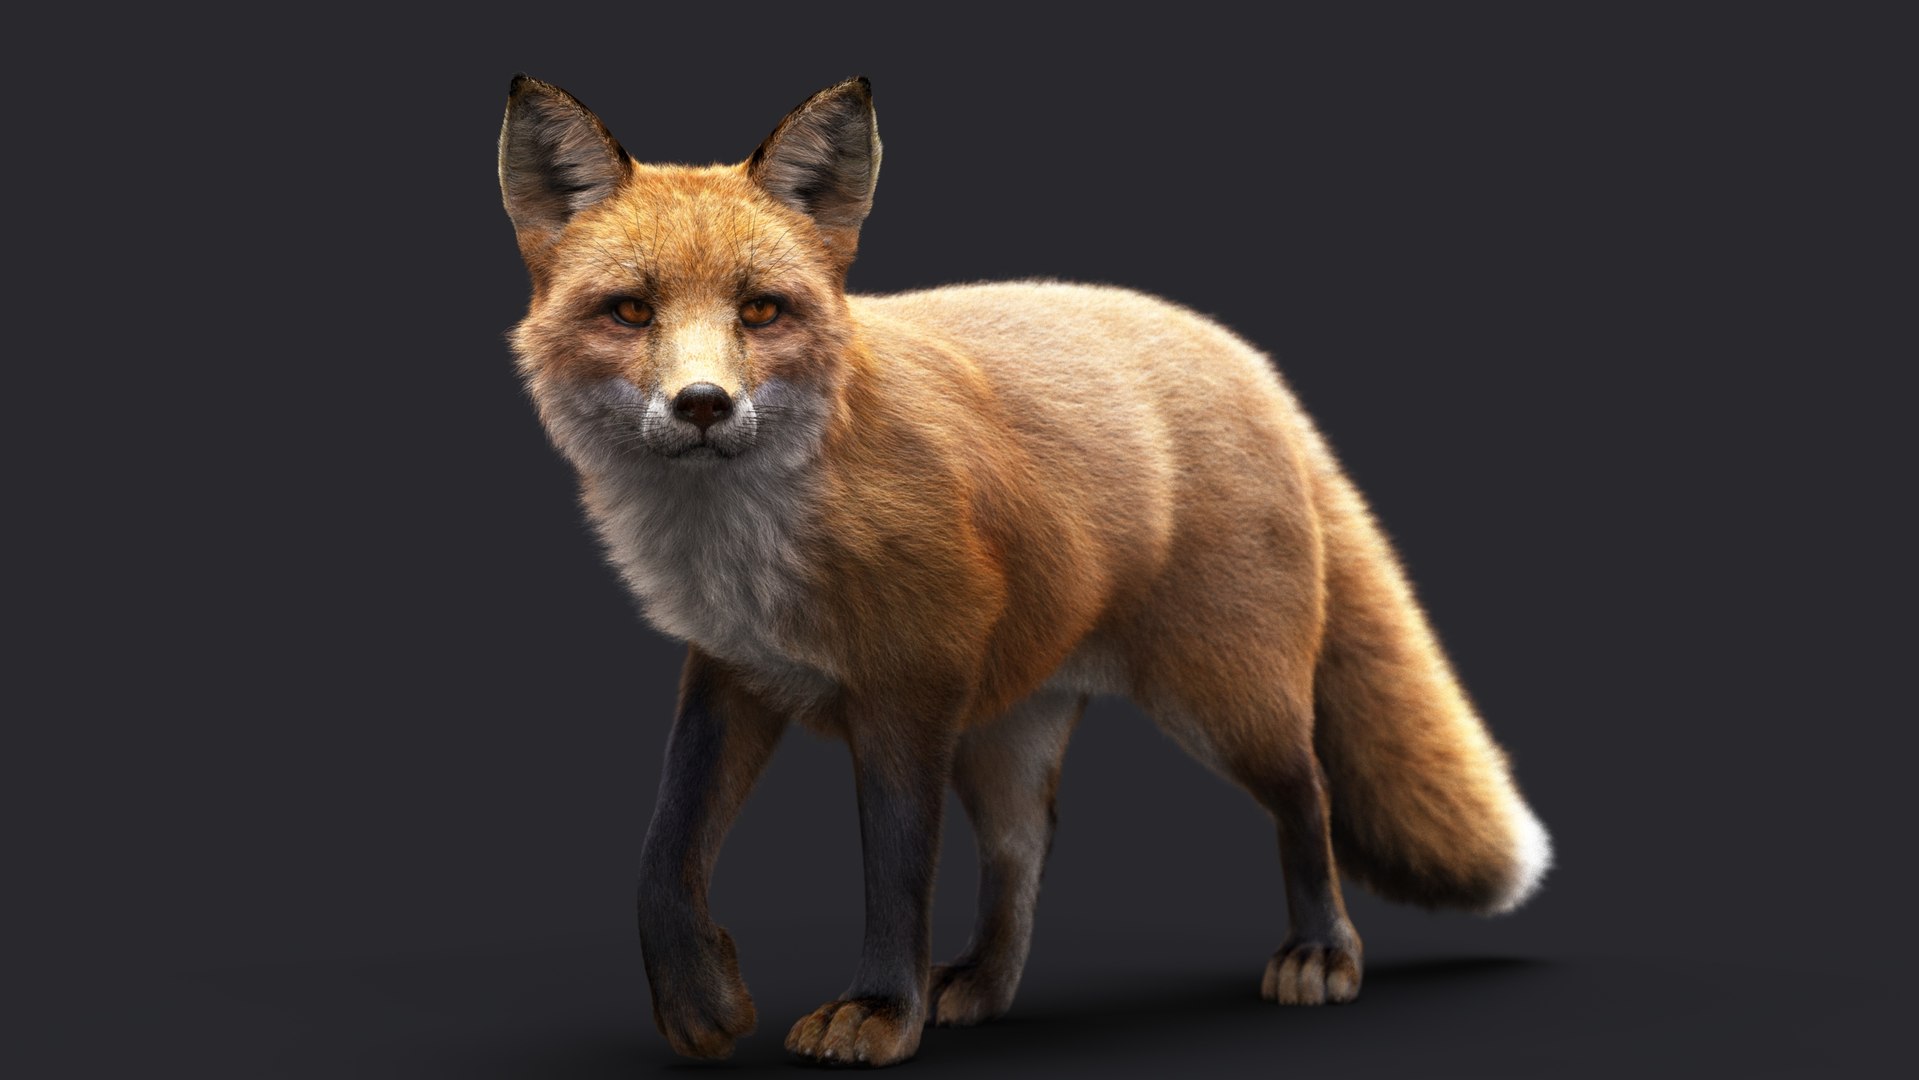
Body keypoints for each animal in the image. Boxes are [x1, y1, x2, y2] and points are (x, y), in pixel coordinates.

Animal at [497, 74, 1552, 1067]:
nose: (704, 403)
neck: (750, 544)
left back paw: (1323, 952)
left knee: (1309, 793)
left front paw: (879, 1009)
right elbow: (662, 851)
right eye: (630, 311)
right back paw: (982, 983)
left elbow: (895, 868)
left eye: (760, 310)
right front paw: (700, 1003)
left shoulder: (911, 683)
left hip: (1225, 700)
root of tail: (1248, 361)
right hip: (1008, 724)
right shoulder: (736, 669)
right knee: (1026, 845)